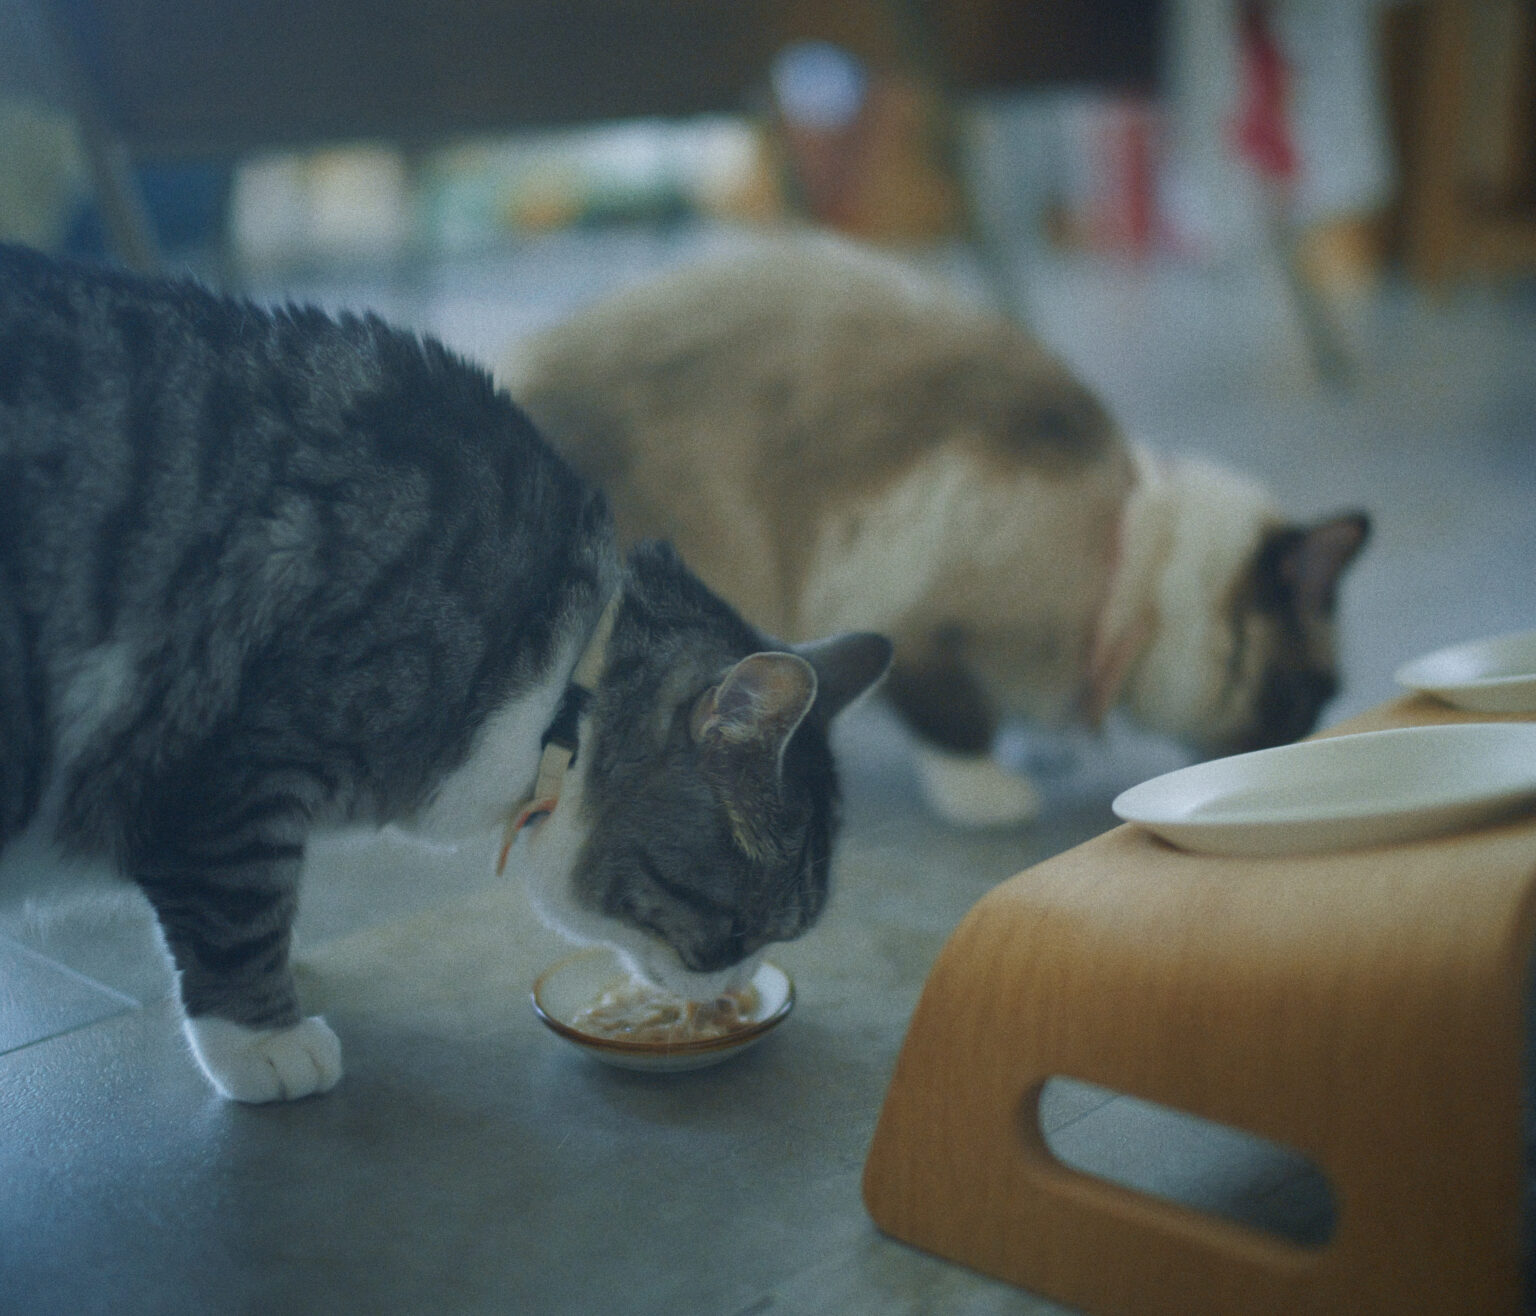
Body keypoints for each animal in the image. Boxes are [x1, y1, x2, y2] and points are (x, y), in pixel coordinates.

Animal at [0, 243, 891, 1102]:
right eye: (737, 933)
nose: (733, 989)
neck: (562, 687)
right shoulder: (235, 759)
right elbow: (239, 903)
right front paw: (267, 1045)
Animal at [503, 237, 1370, 827]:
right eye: (1308, 696)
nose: (1306, 743)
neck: (1123, 570)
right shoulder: (908, 614)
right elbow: (956, 721)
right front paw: (992, 794)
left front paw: (1039, 750)